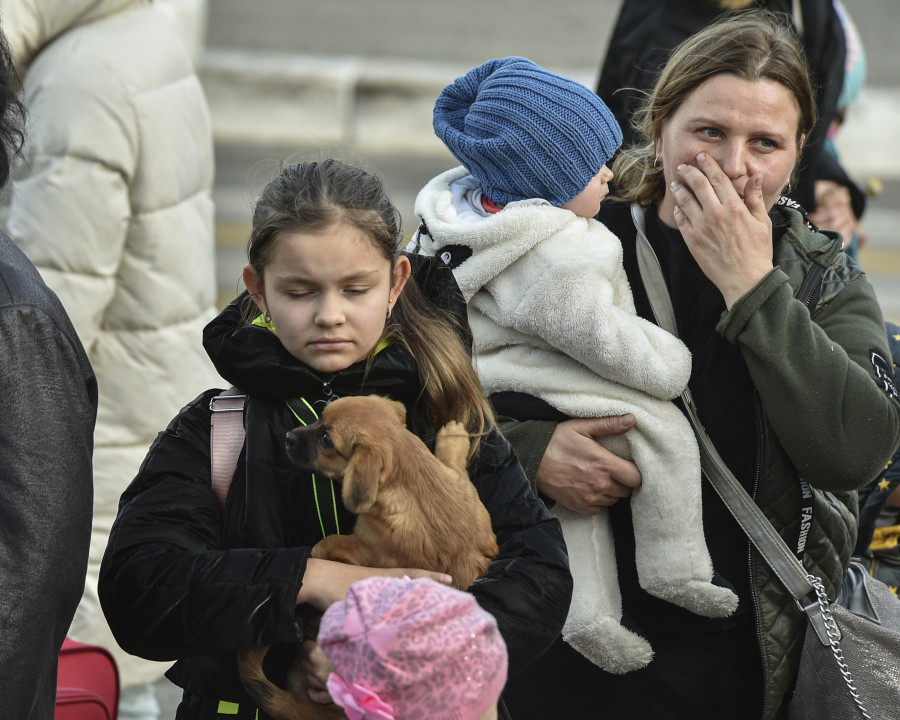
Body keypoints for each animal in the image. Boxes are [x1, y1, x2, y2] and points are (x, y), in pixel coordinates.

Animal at [236, 396, 496, 716]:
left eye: (326, 439)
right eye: (319, 418)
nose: (288, 437)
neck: (412, 479)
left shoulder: (368, 547)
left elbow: (330, 542)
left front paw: (318, 551)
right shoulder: (462, 488)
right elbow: (453, 464)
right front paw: (454, 436)